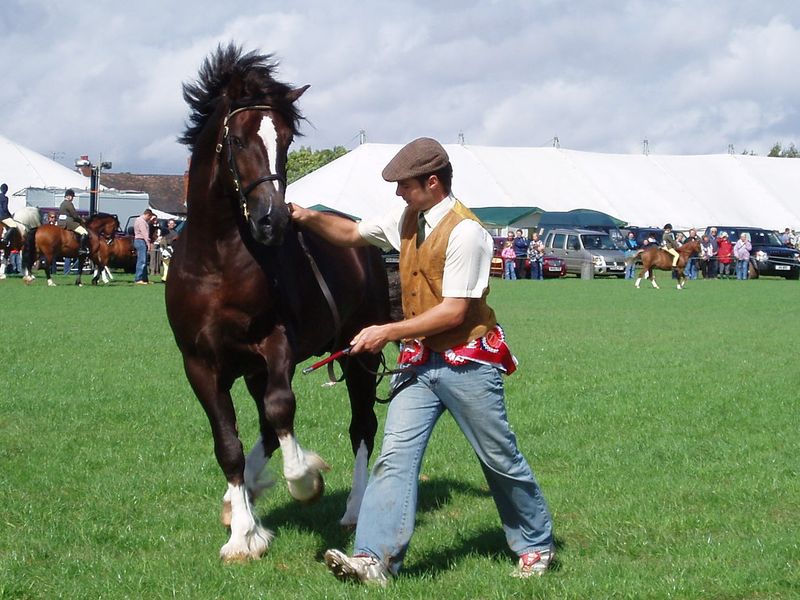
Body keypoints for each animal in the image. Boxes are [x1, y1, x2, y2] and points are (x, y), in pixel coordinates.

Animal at [166, 43, 390, 564]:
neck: (217, 264)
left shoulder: (275, 345)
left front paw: (305, 480)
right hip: (253, 369)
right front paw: (242, 533)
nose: (273, 220)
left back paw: (352, 508)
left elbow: (282, 408)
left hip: (360, 354)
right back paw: (241, 497)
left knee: (361, 426)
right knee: (266, 431)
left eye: (285, 140)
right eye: (238, 140)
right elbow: (228, 443)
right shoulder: (202, 364)